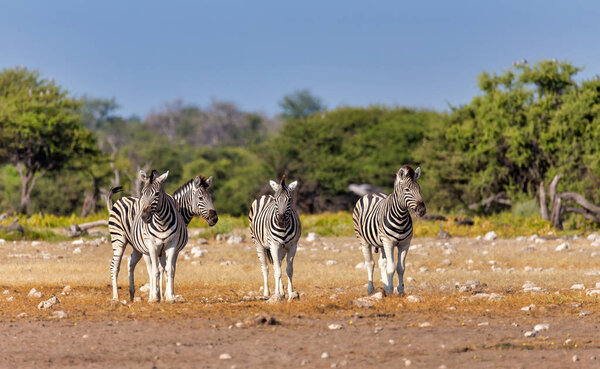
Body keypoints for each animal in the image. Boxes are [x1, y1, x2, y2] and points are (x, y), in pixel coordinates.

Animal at [352, 165, 426, 294]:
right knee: (370, 263)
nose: (422, 210)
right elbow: (391, 268)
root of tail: (371, 193)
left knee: (382, 263)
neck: (400, 218)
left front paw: (400, 290)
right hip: (363, 240)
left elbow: (400, 268)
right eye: (407, 189)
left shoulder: (405, 244)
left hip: (381, 243)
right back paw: (370, 289)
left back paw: (385, 287)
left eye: (419, 189)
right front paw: (391, 291)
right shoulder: (388, 242)